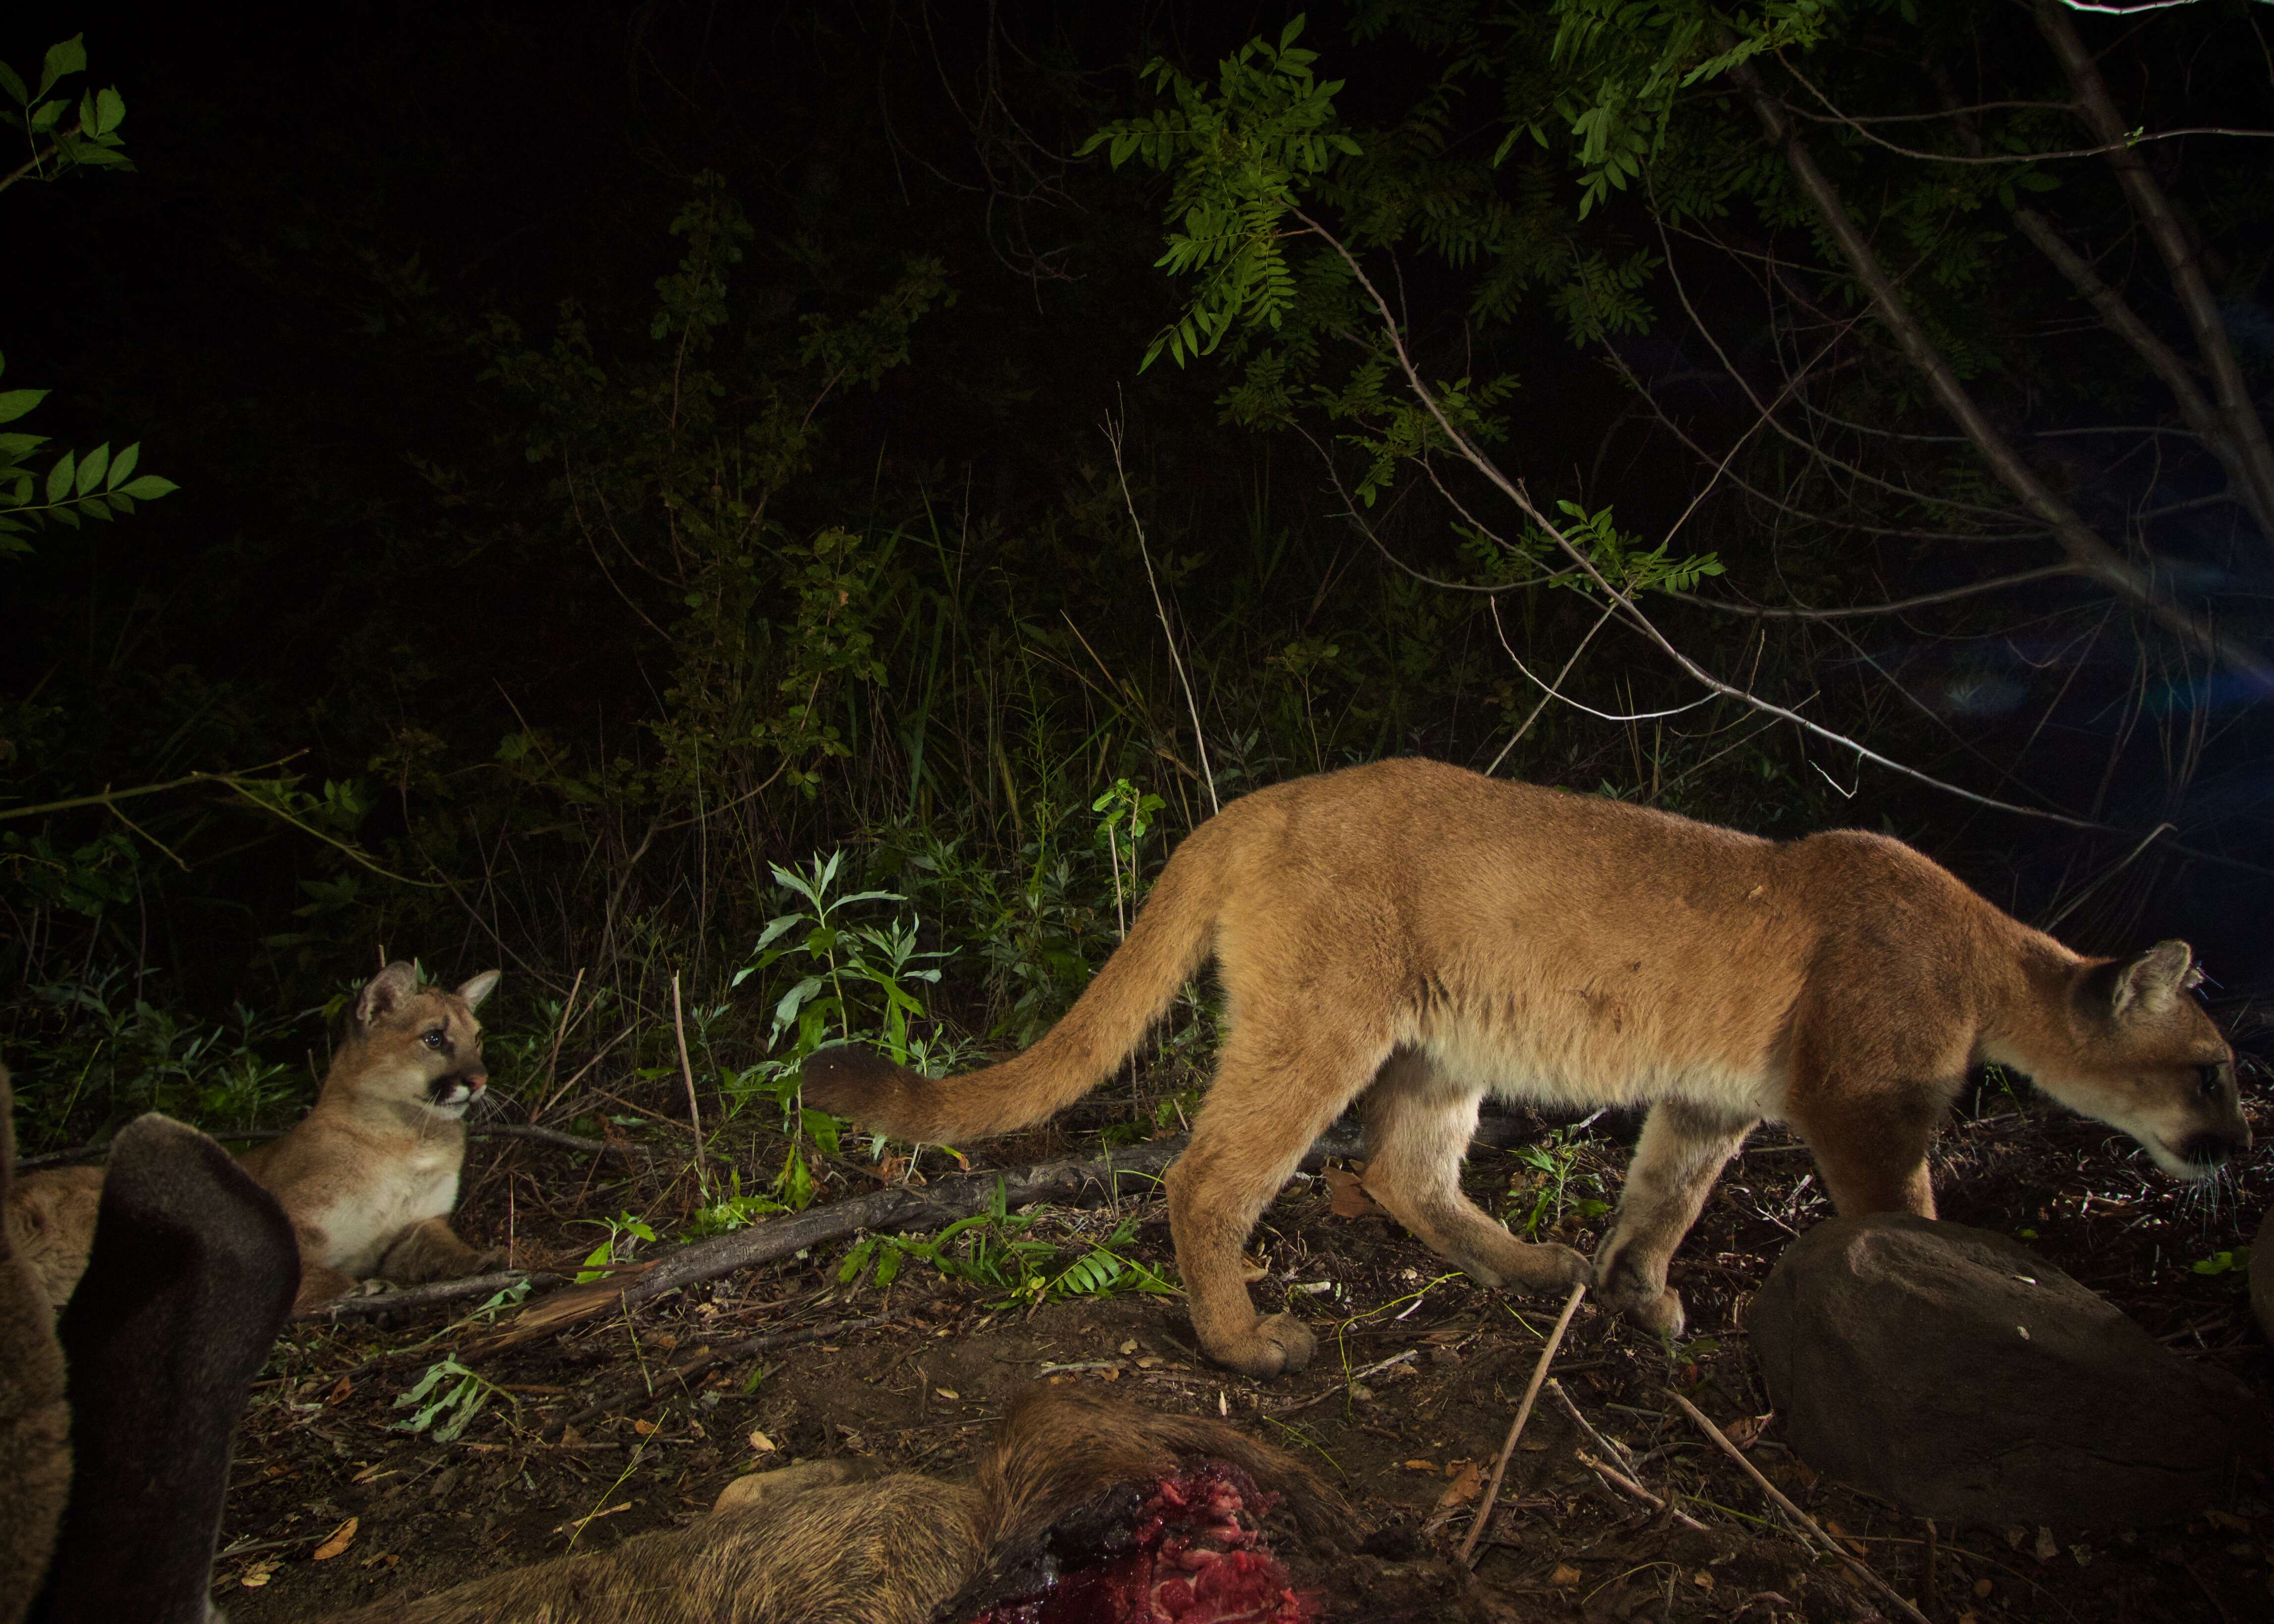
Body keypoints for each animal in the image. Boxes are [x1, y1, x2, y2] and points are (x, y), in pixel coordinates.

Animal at [809, 755, 2246, 1364]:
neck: (1992, 959)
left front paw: (1638, 1294)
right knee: (1209, 1177)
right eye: (2212, 1067)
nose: (2243, 1138)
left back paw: (1529, 1267)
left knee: (1401, 1170)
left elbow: (1662, 1199)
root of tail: (1254, 803)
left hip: (1444, 1038)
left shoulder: (1707, 1102)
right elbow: (1905, 1214)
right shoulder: (1860, 1103)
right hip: (1324, 1018)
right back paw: (1246, 1344)